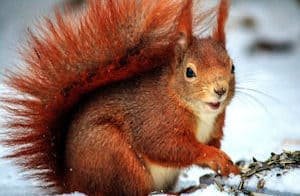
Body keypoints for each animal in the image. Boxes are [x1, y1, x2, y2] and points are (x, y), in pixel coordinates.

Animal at [0, 0, 239, 195]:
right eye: (189, 72)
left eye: (232, 67)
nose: (220, 90)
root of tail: (72, 182)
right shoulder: (156, 121)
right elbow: (168, 147)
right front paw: (214, 156)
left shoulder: (215, 125)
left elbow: (212, 142)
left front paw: (228, 163)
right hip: (116, 156)